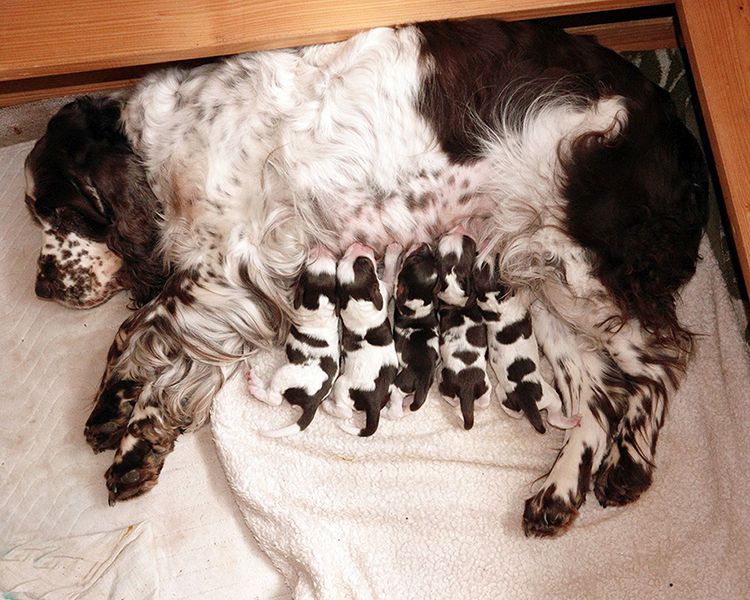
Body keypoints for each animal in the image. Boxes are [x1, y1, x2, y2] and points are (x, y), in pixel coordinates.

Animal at [390, 240, 444, 418]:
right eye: (434, 260)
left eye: (413, 259)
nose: (425, 244)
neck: (422, 299)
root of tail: (423, 380)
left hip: (399, 384)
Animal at [476, 255, 580, 434]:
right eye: (494, 268)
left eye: (484, 267)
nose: (494, 255)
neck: (493, 303)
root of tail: (525, 396)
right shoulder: (521, 301)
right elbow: (528, 293)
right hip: (551, 397)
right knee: (553, 418)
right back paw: (571, 421)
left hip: (502, 392)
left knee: (510, 407)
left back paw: (516, 415)